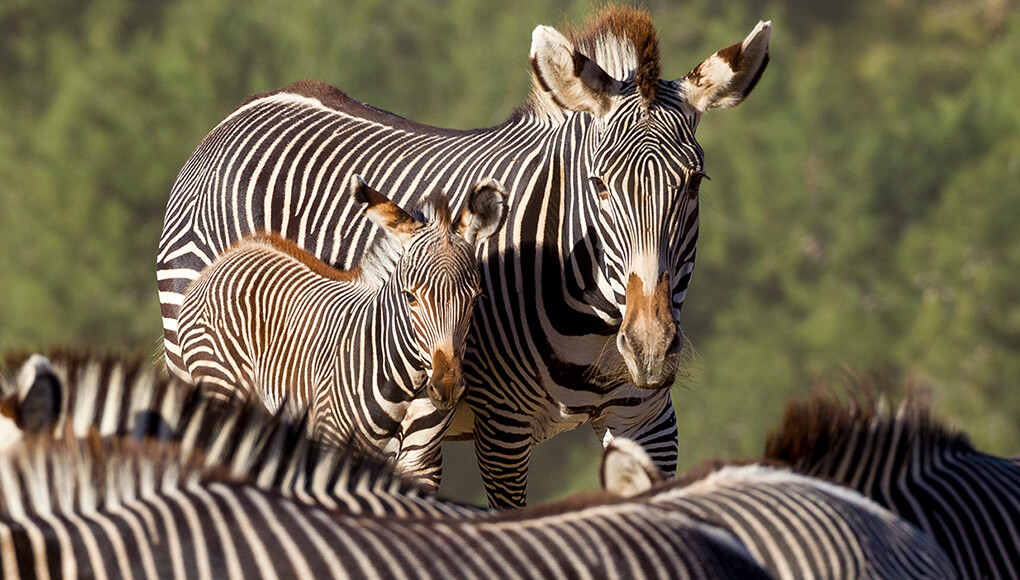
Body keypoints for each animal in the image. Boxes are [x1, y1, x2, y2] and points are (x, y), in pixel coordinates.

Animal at [178, 177, 505, 489]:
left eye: (475, 298)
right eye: (410, 297)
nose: (447, 387)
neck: (406, 386)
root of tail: (233, 254)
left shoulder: (421, 465)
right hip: (222, 386)